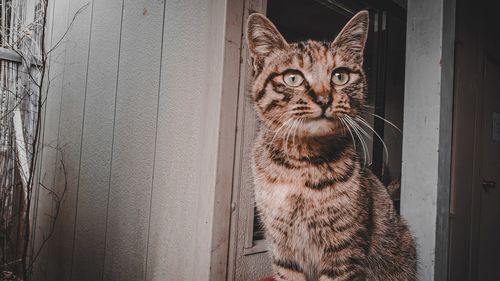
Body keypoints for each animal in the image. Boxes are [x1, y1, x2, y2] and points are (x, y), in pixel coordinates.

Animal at [247, 9, 418, 278]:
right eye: (292, 78)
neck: (302, 166)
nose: (324, 98)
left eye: (340, 76)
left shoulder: (344, 253)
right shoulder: (283, 251)